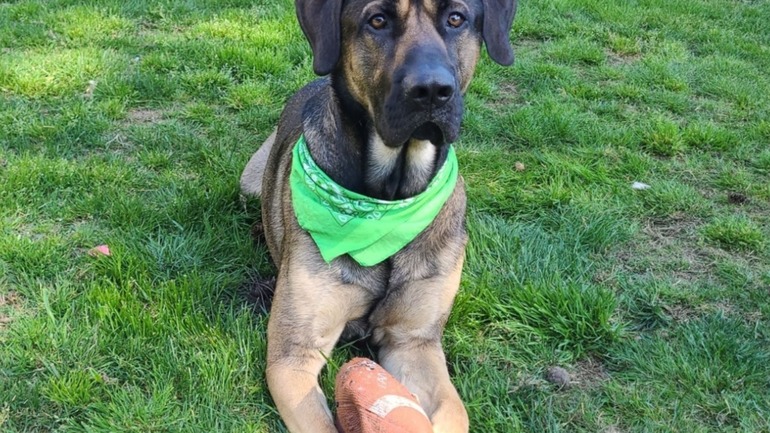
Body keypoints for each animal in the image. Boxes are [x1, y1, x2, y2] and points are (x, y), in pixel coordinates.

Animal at [239, 1, 517, 431]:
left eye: (456, 18)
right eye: (378, 20)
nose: (431, 91)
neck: (389, 201)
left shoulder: (413, 342)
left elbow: (454, 412)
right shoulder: (293, 356)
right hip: (250, 180)